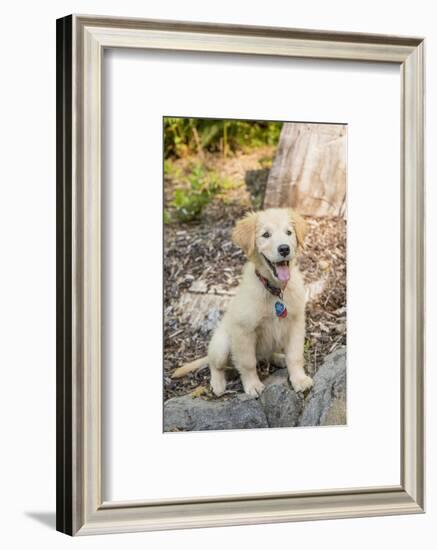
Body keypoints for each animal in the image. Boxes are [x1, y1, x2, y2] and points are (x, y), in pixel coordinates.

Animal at [172, 209, 312, 398]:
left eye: (289, 232)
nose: (284, 248)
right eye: (266, 235)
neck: (274, 290)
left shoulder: (296, 323)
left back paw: (278, 358)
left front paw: (299, 379)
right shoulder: (243, 331)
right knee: (215, 365)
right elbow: (248, 363)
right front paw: (253, 385)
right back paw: (218, 384)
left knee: (267, 355)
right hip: (221, 344)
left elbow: (295, 355)